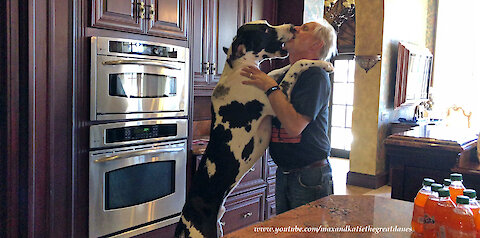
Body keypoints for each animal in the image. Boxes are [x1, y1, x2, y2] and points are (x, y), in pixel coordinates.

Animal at [175, 20, 334, 238]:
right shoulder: (279, 95)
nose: (293, 27)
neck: (239, 68)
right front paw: (323, 64)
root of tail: (184, 221)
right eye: (265, 29)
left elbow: (277, 70)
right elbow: (296, 65)